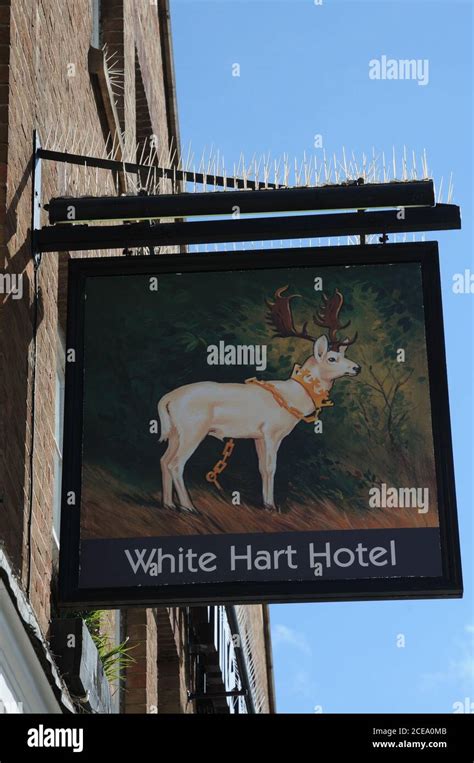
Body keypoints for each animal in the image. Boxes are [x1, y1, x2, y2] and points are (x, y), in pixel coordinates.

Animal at [157, 286, 362, 512]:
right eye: (332, 358)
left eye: (344, 355)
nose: (357, 368)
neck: (293, 397)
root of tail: (167, 399)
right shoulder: (272, 432)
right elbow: (271, 467)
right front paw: (271, 505)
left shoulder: (258, 436)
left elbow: (262, 468)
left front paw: (265, 502)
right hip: (193, 429)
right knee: (176, 464)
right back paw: (188, 507)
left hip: (175, 432)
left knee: (163, 460)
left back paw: (168, 504)